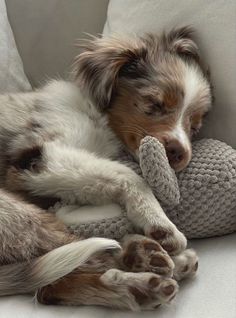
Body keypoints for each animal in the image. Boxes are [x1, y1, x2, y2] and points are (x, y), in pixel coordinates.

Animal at [0, 26, 211, 310]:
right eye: (154, 104)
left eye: (194, 126)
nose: (179, 153)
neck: (95, 116)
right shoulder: (40, 157)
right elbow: (127, 174)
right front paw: (160, 223)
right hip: (15, 214)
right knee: (69, 263)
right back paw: (151, 272)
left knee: (54, 285)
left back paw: (141, 267)